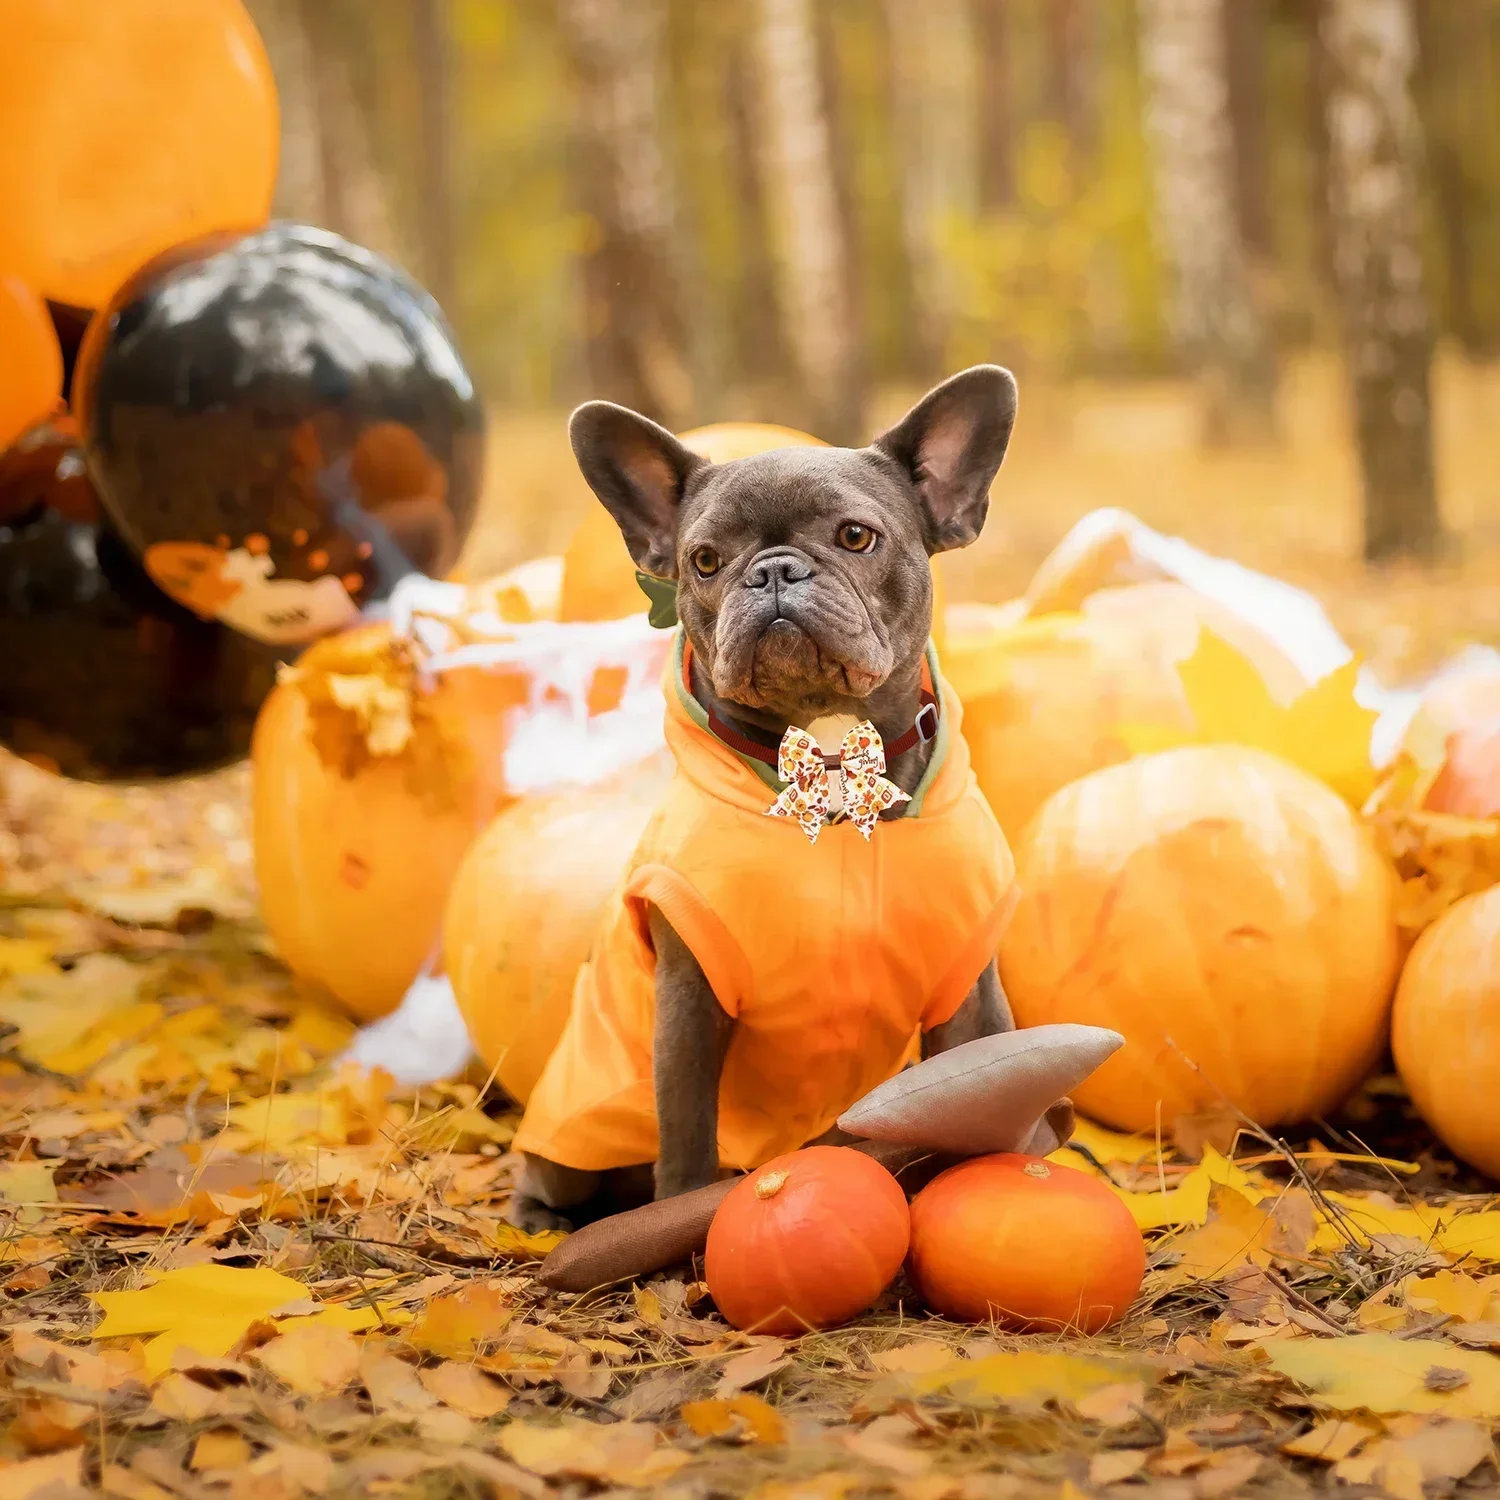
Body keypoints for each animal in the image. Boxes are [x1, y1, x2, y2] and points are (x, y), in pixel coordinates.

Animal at [513, 363, 1020, 1230]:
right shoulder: (689, 1005)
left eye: (856, 537)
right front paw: (682, 1228)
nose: (774, 571)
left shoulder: (966, 997)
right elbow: (687, 1138)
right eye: (705, 559)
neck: (831, 760)